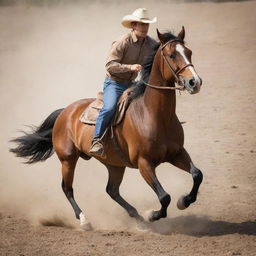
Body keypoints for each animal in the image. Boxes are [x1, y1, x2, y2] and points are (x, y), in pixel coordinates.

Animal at [9, 27, 202, 231]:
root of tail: (65, 112)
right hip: (68, 159)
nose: (195, 82)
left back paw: (137, 218)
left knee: (112, 190)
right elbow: (164, 197)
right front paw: (152, 214)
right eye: (172, 55)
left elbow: (197, 174)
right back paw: (85, 220)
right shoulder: (144, 163)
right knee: (67, 188)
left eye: (189, 52)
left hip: (114, 164)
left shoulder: (177, 153)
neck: (154, 115)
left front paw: (184, 201)